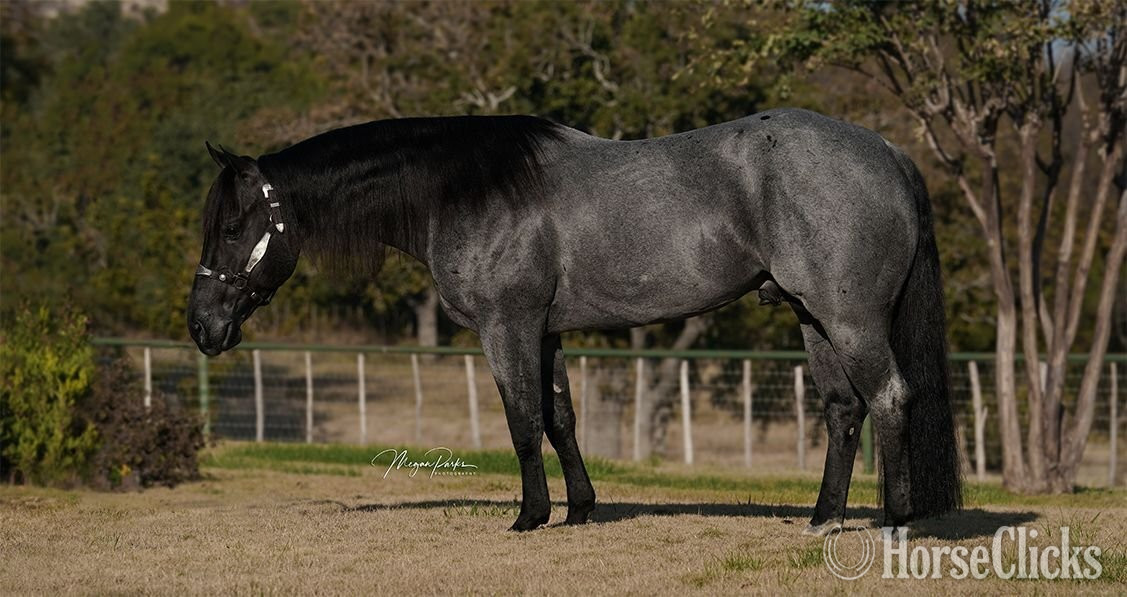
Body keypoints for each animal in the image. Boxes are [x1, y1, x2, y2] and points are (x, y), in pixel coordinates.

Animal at [186, 109, 962, 533]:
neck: (463, 188)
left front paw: (529, 515)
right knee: (842, 410)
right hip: (812, 317)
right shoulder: (547, 330)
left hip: (848, 318)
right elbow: (560, 417)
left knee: (889, 397)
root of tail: (888, 152)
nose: (201, 326)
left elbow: (522, 420)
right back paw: (821, 518)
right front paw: (580, 508)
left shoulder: (507, 326)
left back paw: (894, 520)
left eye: (231, 227)